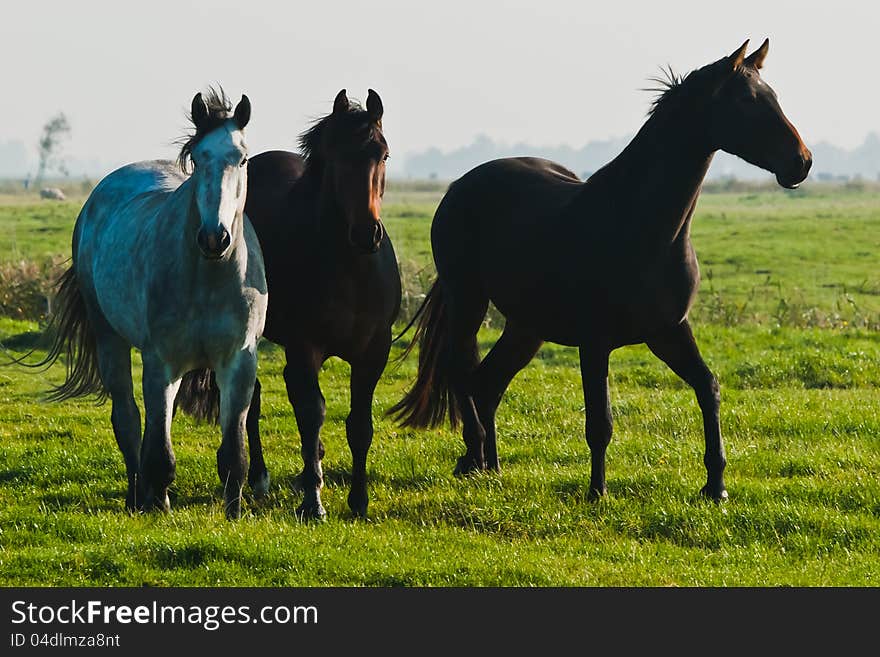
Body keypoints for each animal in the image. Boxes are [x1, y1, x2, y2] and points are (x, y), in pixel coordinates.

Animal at [241, 89, 398, 516]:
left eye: (383, 154)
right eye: (338, 156)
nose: (366, 234)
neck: (350, 268)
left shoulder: (373, 351)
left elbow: (359, 424)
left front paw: (358, 500)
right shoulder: (305, 345)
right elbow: (312, 413)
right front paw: (313, 502)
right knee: (256, 397)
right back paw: (259, 476)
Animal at [390, 41, 812, 500]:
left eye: (772, 96)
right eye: (747, 101)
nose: (801, 162)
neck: (643, 226)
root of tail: (459, 186)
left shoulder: (668, 330)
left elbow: (709, 388)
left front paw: (715, 486)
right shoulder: (595, 341)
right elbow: (600, 422)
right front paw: (597, 493)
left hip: (526, 326)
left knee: (487, 383)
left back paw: (490, 467)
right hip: (468, 299)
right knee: (463, 373)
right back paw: (474, 456)